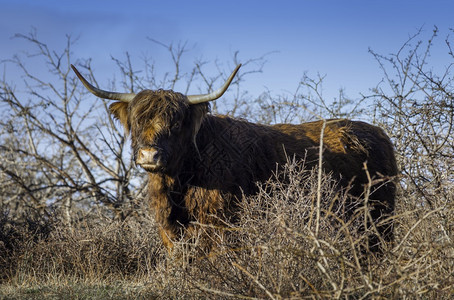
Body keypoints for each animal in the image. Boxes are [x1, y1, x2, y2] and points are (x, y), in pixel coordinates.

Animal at [72, 63, 398, 253]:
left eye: (176, 124)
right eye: (138, 123)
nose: (150, 154)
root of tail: (377, 132)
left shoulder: (220, 223)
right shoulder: (171, 229)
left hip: (379, 218)